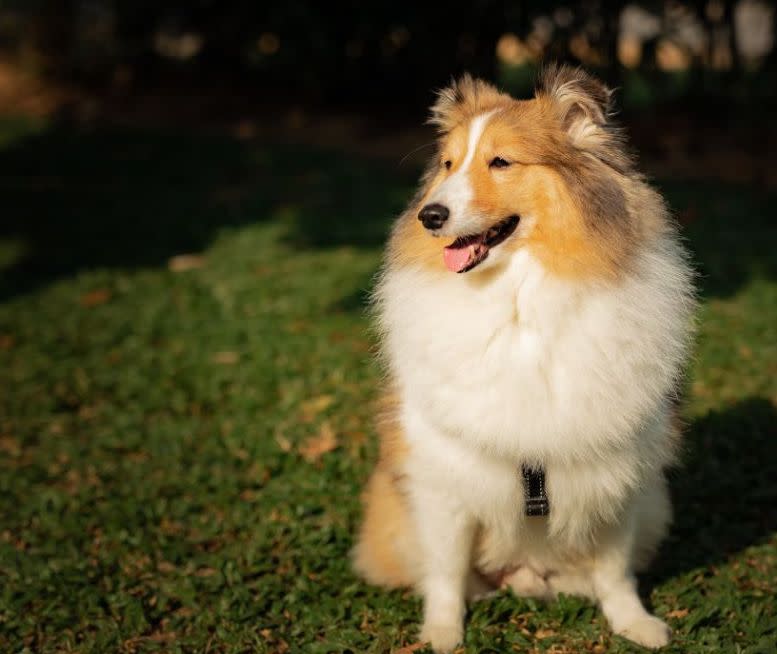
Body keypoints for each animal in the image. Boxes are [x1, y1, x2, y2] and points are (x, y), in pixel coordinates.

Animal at [354, 64, 696, 652]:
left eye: (501, 162)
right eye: (448, 164)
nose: (429, 216)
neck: (521, 295)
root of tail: (525, 572)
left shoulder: (619, 475)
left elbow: (615, 568)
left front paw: (635, 624)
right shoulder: (443, 475)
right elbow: (445, 569)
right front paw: (442, 633)